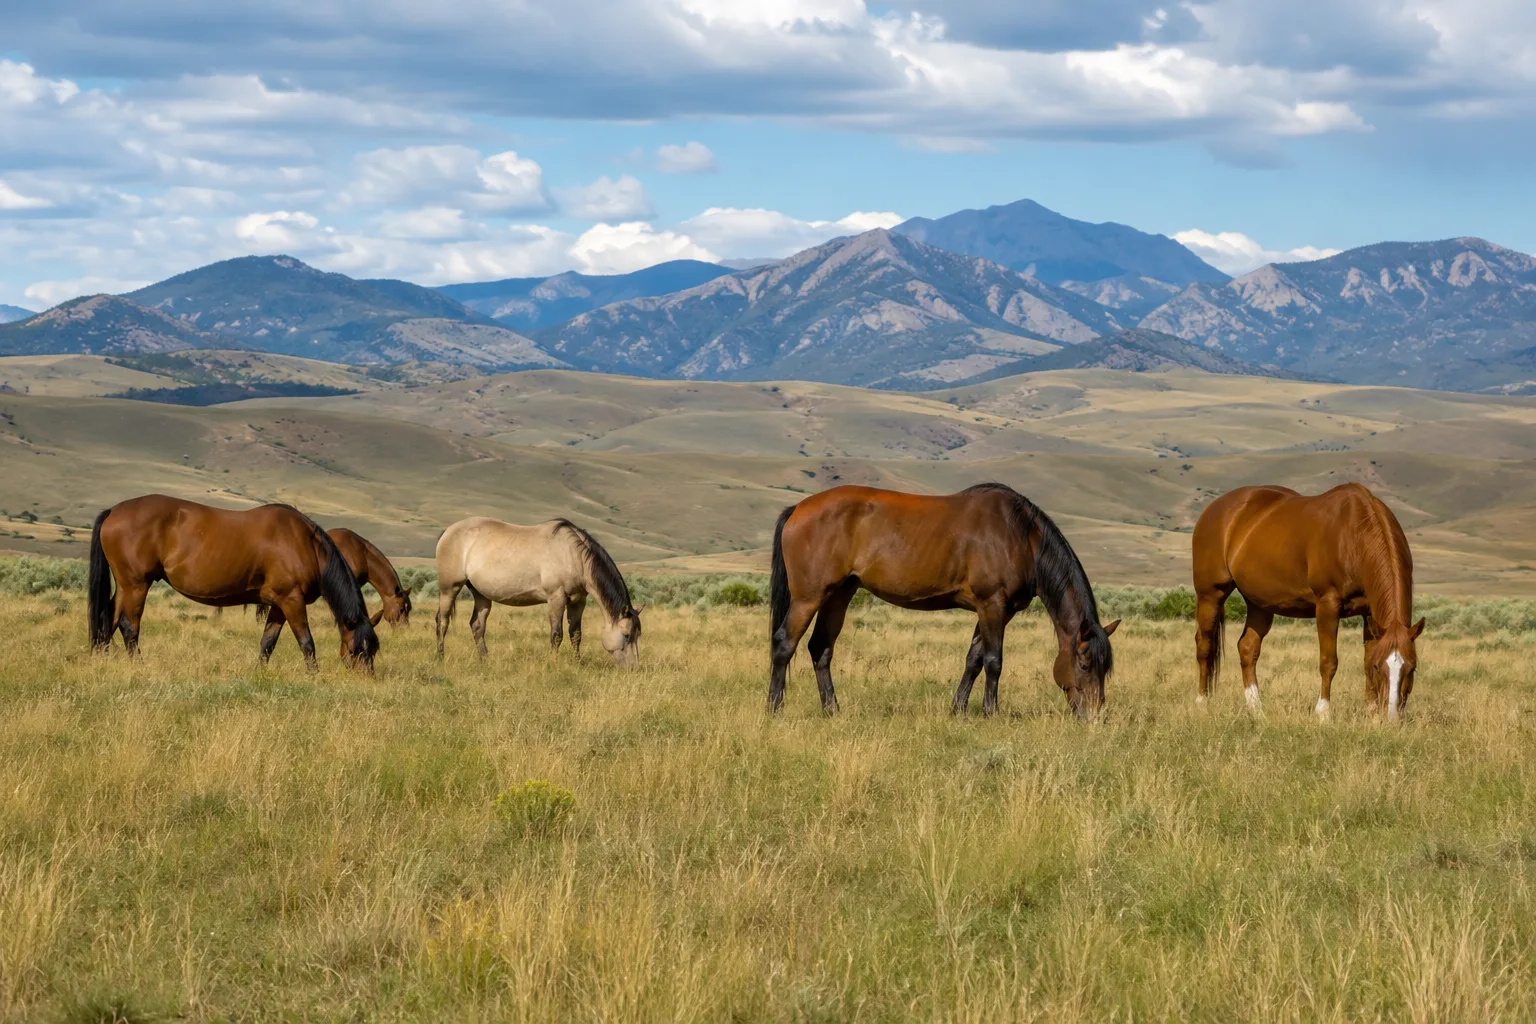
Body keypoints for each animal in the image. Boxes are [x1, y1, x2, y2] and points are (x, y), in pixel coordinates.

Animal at [88, 494, 380, 671]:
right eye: (356, 650)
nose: (365, 678)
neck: (304, 543)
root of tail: (114, 511)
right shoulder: (292, 600)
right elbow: (307, 642)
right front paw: (314, 675)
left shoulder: (279, 604)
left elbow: (268, 642)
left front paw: (259, 673)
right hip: (136, 585)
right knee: (128, 626)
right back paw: (138, 665)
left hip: (126, 586)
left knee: (108, 620)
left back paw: (101, 662)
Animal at [434, 517, 642, 665]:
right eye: (626, 635)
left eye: (637, 635)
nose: (634, 667)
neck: (573, 555)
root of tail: (448, 532)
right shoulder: (556, 598)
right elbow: (556, 635)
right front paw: (553, 663)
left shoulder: (578, 601)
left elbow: (576, 634)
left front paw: (578, 663)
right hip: (449, 589)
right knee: (442, 621)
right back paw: (440, 657)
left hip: (481, 595)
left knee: (477, 626)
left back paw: (485, 660)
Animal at [769, 483, 1119, 719]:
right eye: (1085, 664)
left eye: (1106, 668)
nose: (1094, 716)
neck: (1020, 537)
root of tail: (797, 509)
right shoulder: (992, 604)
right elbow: (994, 661)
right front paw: (990, 712)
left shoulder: (994, 611)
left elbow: (973, 660)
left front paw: (959, 709)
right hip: (809, 597)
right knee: (785, 644)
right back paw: (774, 708)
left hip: (839, 594)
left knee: (820, 649)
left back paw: (832, 710)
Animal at [1192, 482, 1425, 720]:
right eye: (1380, 667)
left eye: (1412, 667)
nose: (1392, 718)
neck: (1353, 536)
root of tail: (1216, 508)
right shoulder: (1327, 605)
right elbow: (1328, 661)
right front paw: (1323, 713)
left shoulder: (1369, 613)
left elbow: (1366, 659)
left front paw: (1370, 713)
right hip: (1210, 595)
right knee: (1204, 645)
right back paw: (1202, 703)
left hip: (1259, 603)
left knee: (1248, 648)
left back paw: (1257, 710)